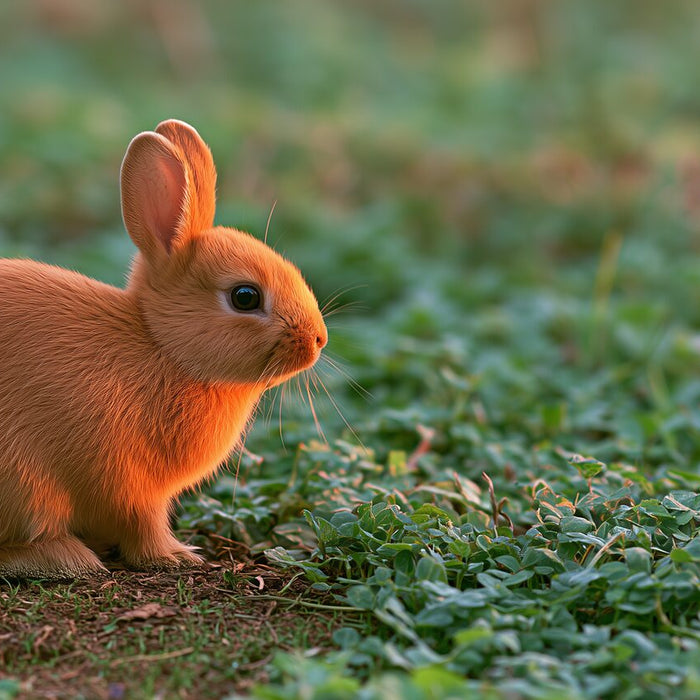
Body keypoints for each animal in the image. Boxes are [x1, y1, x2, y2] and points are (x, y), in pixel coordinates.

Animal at [0, 119, 327, 579]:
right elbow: (145, 526)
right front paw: (175, 556)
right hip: (21, 479)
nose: (318, 339)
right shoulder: (132, 486)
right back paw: (66, 558)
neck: (164, 349)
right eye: (245, 297)